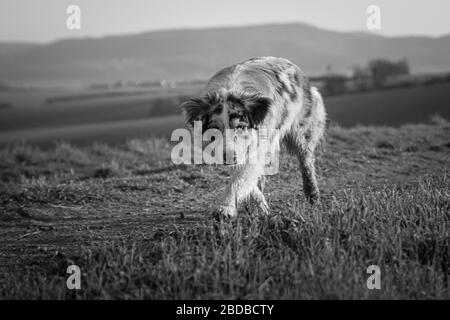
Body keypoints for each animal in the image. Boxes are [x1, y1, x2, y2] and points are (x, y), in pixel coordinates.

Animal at [181, 57, 326, 218]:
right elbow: (245, 178)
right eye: (215, 129)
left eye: (240, 127)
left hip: (301, 132)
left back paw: (312, 195)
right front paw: (259, 205)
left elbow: (239, 179)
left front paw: (225, 207)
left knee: (306, 160)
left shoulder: (256, 146)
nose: (229, 157)